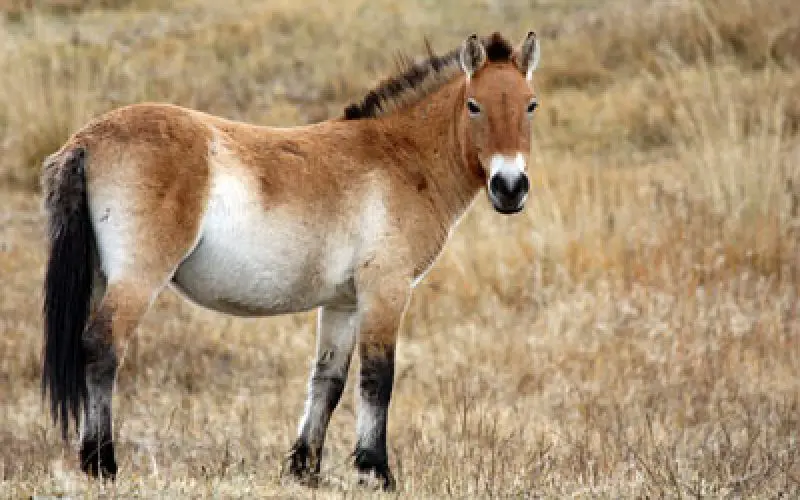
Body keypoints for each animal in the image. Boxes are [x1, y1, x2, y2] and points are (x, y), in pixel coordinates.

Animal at [42, 30, 544, 488]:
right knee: (103, 346)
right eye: (474, 105)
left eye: (531, 105)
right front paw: (376, 472)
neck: (401, 158)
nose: (510, 188)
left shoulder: (343, 303)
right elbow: (377, 378)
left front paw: (305, 470)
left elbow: (328, 381)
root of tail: (86, 140)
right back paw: (102, 464)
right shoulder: (385, 290)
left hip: (102, 277)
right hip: (137, 278)